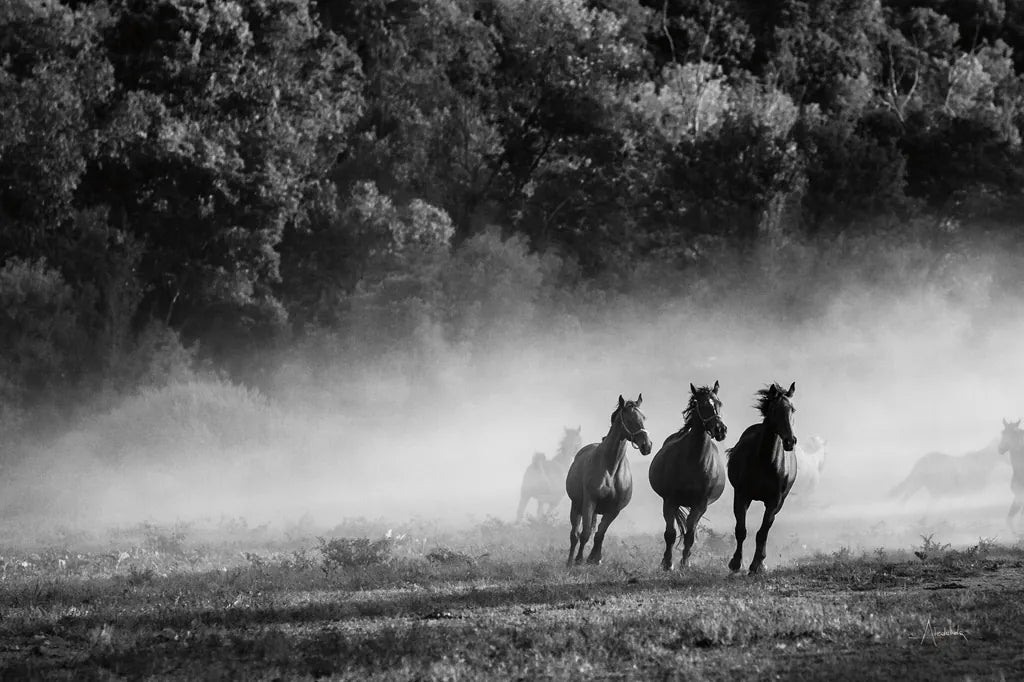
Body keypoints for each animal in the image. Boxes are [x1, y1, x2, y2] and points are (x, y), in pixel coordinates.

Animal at [565, 394, 652, 567]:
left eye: (644, 417)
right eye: (629, 419)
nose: (647, 446)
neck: (611, 469)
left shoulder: (614, 509)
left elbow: (600, 533)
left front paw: (594, 558)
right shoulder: (589, 502)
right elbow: (585, 534)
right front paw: (579, 559)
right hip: (577, 506)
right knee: (575, 534)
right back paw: (570, 560)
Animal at [648, 381, 728, 570]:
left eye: (719, 403)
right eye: (703, 404)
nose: (720, 430)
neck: (695, 461)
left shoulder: (700, 504)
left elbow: (690, 535)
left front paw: (685, 563)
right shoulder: (670, 501)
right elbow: (670, 533)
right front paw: (668, 563)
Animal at [727, 382, 798, 575]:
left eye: (793, 410)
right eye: (774, 410)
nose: (790, 441)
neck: (765, 462)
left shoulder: (774, 502)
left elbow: (763, 532)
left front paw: (757, 565)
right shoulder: (742, 496)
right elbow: (741, 530)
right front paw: (736, 563)